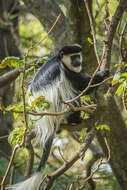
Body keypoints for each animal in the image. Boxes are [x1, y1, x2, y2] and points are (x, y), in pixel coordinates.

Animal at [7, 44, 109, 190]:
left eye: (78, 56)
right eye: (73, 57)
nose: (78, 62)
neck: (60, 60)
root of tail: (46, 122)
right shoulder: (66, 71)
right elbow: (83, 85)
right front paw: (103, 74)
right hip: (61, 108)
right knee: (73, 95)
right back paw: (75, 120)